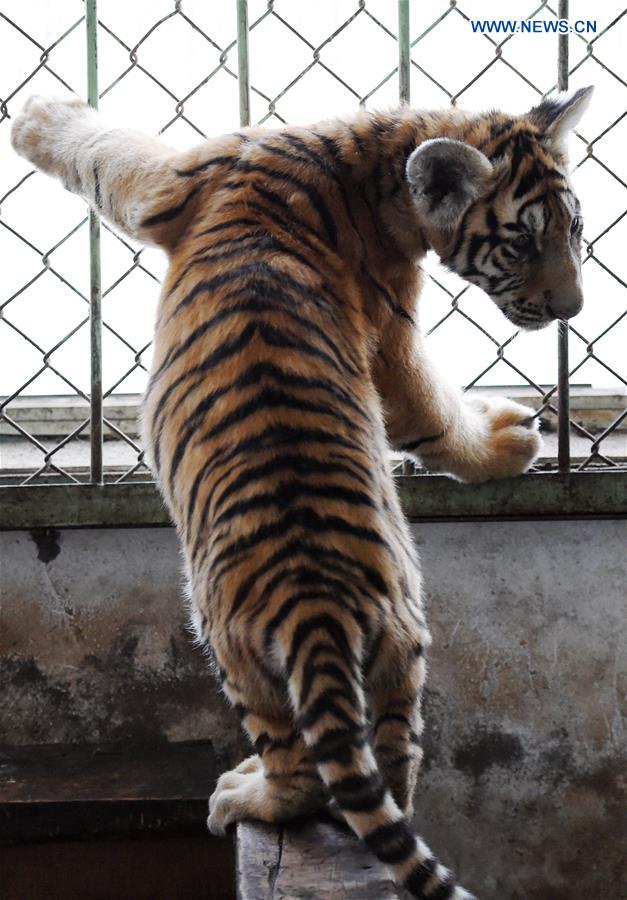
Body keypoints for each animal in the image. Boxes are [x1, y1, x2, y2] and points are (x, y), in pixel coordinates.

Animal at [11, 85, 592, 899]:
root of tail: (319, 612)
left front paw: (39, 114)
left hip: (232, 647)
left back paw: (244, 792)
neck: (377, 164)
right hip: (403, 650)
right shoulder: (388, 334)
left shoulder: (169, 182)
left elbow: (102, 148)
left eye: (572, 230)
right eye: (523, 243)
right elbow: (427, 411)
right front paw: (515, 439)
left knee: (299, 775)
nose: (572, 310)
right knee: (390, 771)